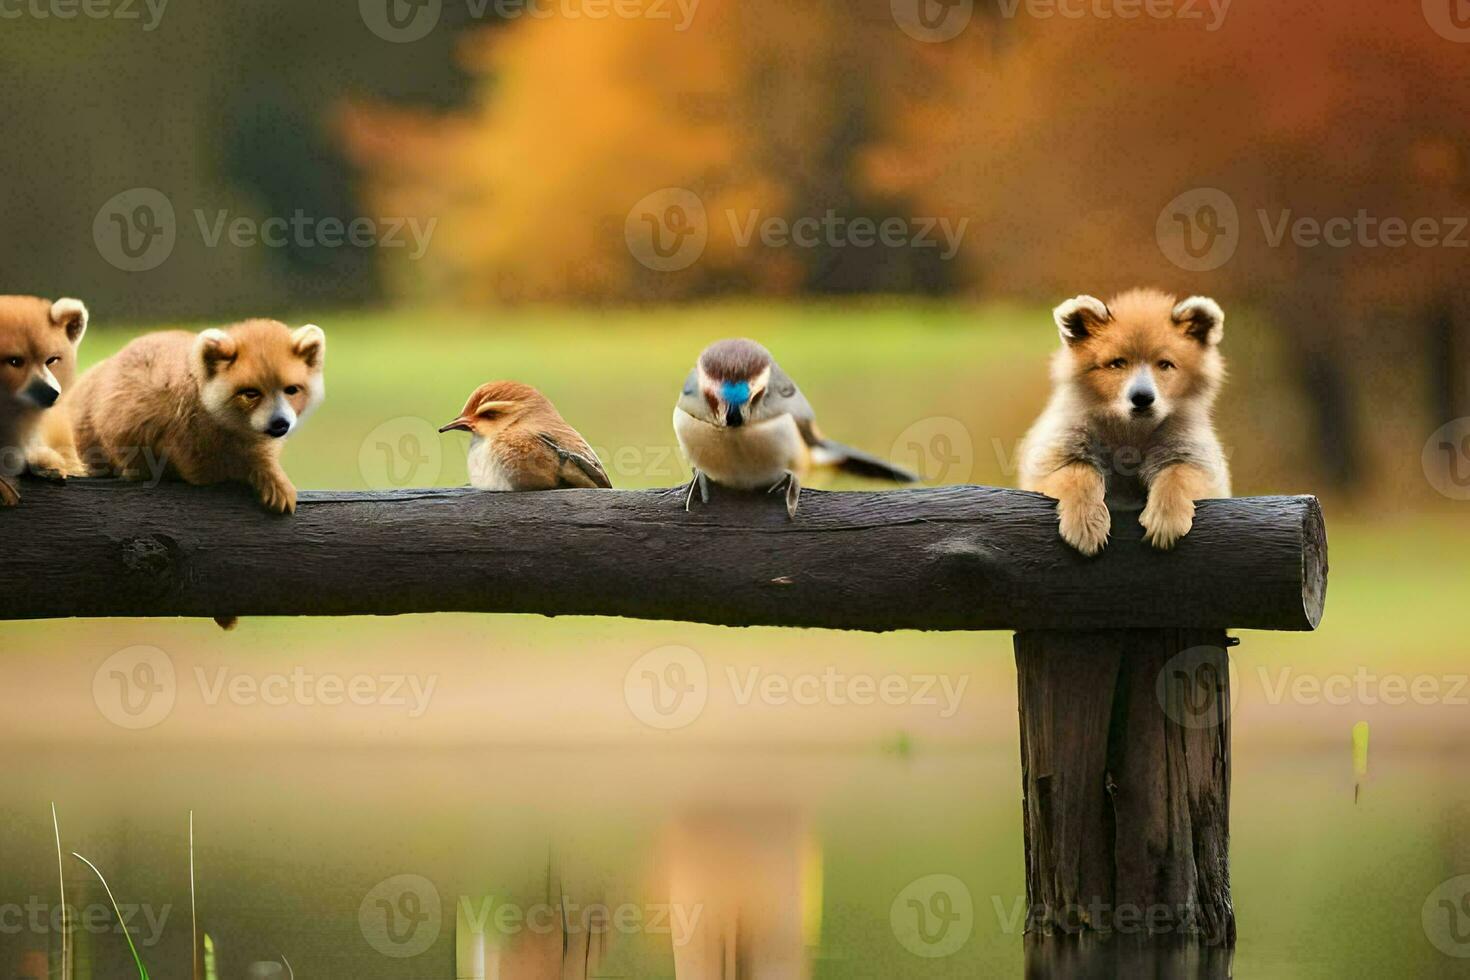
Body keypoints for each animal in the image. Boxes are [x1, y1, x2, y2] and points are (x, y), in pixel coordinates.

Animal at [68, 318, 324, 514]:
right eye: (250, 393)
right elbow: (216, 467)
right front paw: (270, 477)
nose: (280, 424)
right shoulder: (186, 434)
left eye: (292, 389)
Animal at [1023, 287, 1228, 555]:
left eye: (1165, 364)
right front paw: (1086, 523)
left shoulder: (1197, 458)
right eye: (1117, 363)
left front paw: (1166, 518)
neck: (1131, 433)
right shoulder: (1054, 457)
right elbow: (1080, 472)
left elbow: (1179, 473)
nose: (1142, 398)